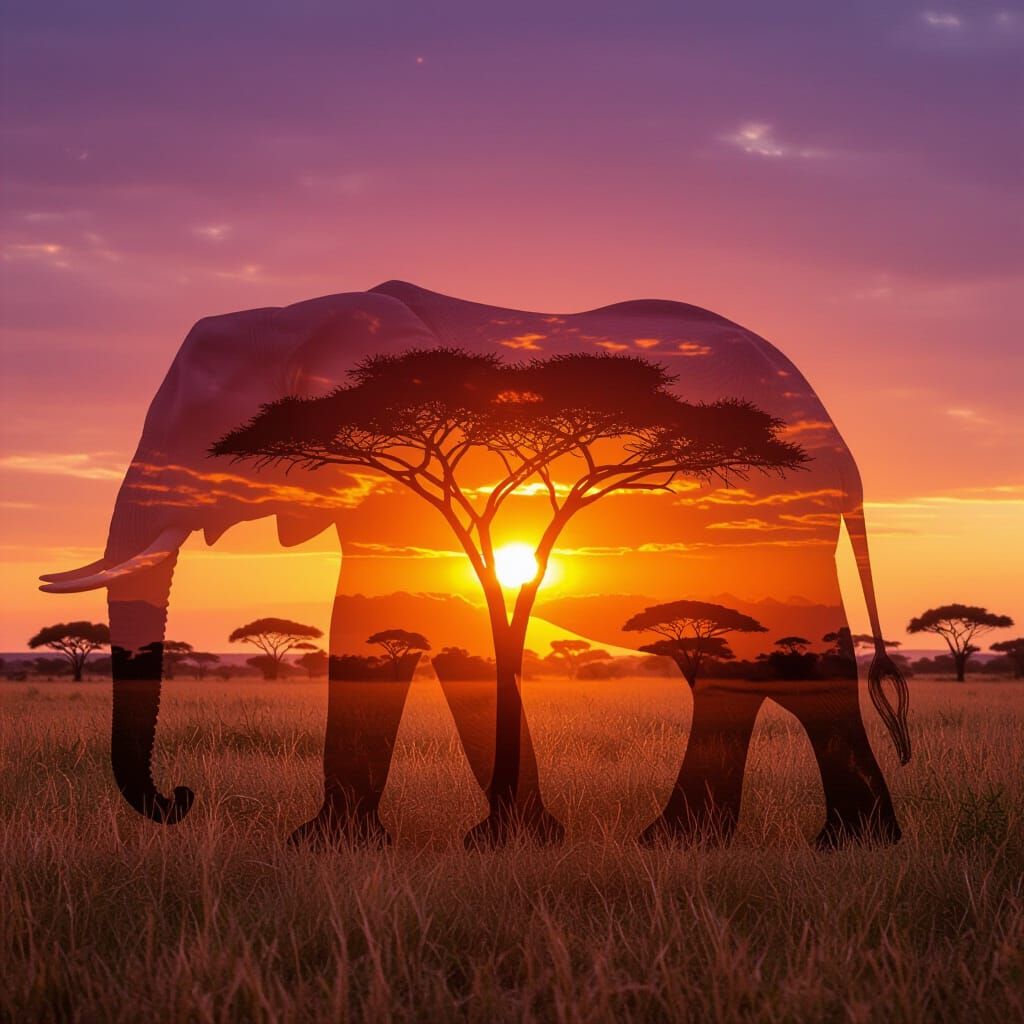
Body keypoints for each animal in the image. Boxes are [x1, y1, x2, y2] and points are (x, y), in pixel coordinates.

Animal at [42, 280, 910, 848]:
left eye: (195, 424)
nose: (182, 797)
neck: (305, 315)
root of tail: (846, 456)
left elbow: (381, 614)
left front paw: (323, 847)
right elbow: (447, 624)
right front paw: (520, 839)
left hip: (774, 528)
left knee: (791, 668)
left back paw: (844, 845)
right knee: (745, 673)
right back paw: (695, 842)